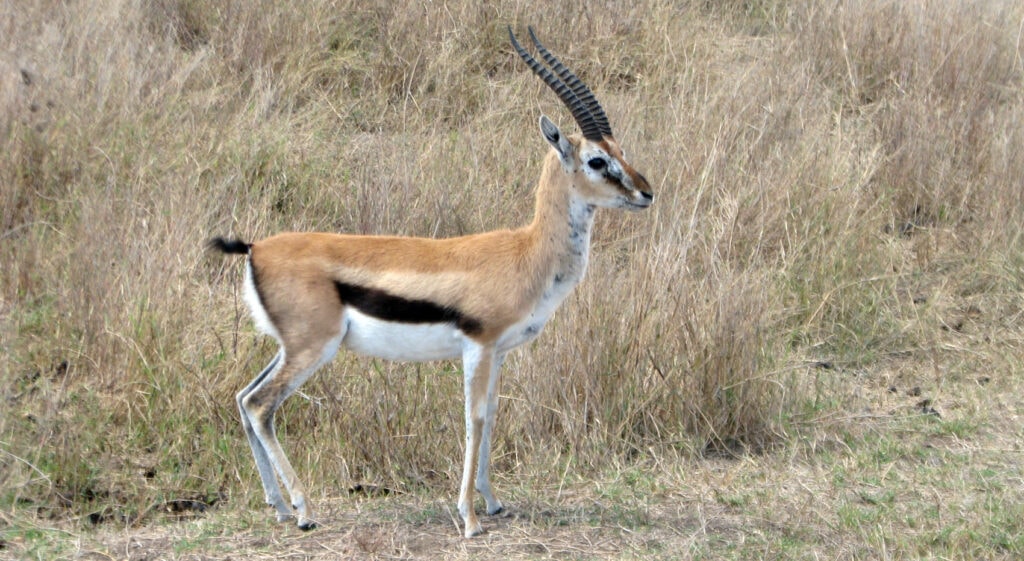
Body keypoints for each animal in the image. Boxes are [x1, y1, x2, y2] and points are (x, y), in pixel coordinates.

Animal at [208, 26, 653, 538]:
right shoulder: (478, 346)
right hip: (312, 348)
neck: (527, 252)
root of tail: (256, 247)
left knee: (244, 397)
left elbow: (493, 415)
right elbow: (473, 419)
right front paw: (470, 519)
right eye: (598, 161)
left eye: (621, 151)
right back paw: (302, 511)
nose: (646, 192)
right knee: (261, 405)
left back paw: (279, 506)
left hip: (291, 346)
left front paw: (493, 502)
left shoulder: (499, 351)